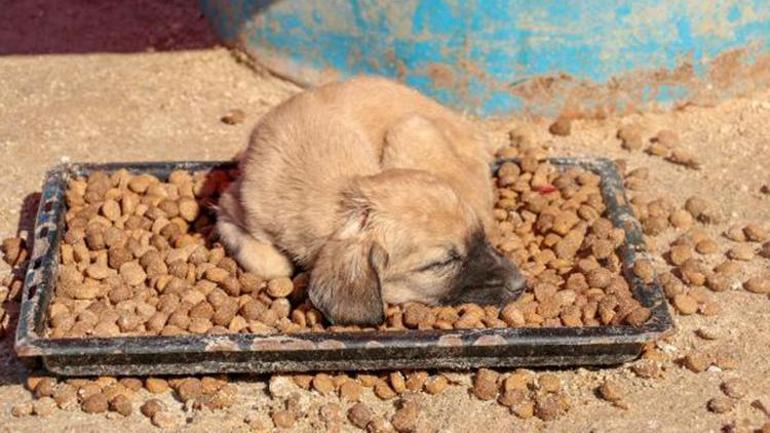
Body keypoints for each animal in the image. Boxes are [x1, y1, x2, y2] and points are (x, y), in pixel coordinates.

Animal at [219, 76, 524, 324]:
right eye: (440, 265)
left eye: (479, 237)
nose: (521, 284)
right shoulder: (229, 203)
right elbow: (272, 265)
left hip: (411, 129)